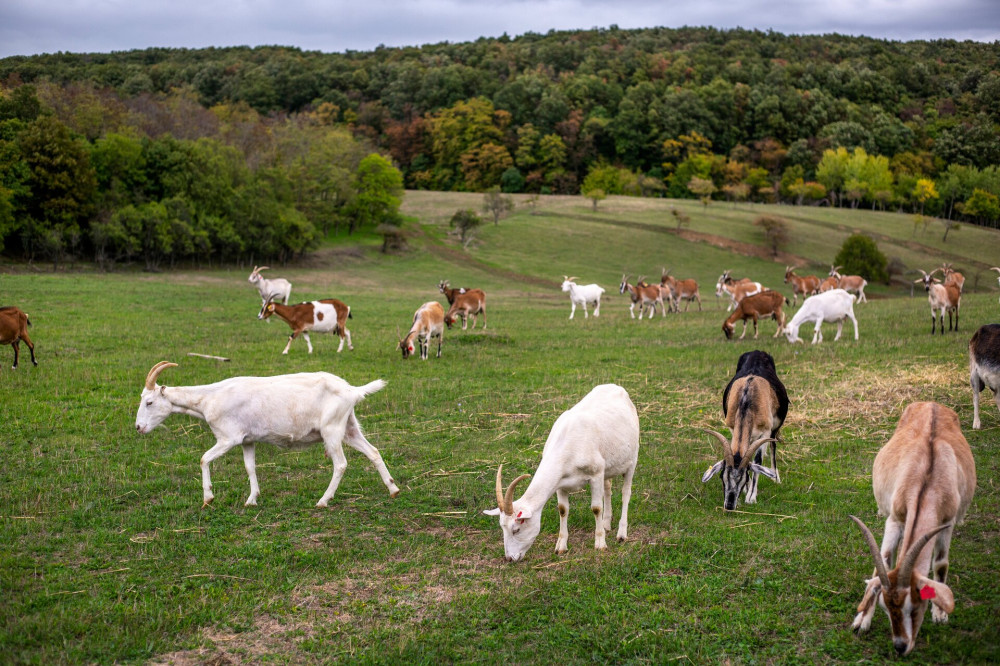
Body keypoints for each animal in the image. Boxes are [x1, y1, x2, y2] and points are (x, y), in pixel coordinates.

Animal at [135, 360, 400, 506]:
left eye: (149, 402)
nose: (138, 427)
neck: (208, 399)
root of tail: (352, 390)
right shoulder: (247, 440)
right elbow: (250, 467)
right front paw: (252, 499)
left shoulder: (228, 438)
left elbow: (203, 459)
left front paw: (208, 498)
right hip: (348, 427)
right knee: (373, 452)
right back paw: (393, 489)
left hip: (331, 429)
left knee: (341, 464)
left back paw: (323, 500)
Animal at [480, 384, 636, 560]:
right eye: (503, 528)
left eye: (516, 529)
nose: (509, 558)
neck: (569, 445)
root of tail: (616, 387)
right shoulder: (561, 483)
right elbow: (562, 510)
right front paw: (561, 547)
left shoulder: (595, 474)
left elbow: (596, 508)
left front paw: (600, 544)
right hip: (608, 466)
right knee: (608, 488)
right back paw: (606, 523)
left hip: (632, 458)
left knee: (626, 492)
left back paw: (621, 534)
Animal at [704, 348, 788, 508]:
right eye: (722, 476)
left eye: (744, 477)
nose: (729, 505)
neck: (747, 399)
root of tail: (757, 351)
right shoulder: (733, 428)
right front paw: (747, 491)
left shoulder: (765, 432)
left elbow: (757, 461)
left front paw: (751, 496)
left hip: (774, 429)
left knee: (773, 446)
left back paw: (776, 478)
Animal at [848, 400, 972, 652]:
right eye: (885, 607)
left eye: (915, 607)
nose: (900, 645)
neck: (927, 479)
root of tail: (932, 403)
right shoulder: (895, 520)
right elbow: (883, 561)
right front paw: (862, 620)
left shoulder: (946, 523)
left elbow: (941, 563)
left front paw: (940, 613)